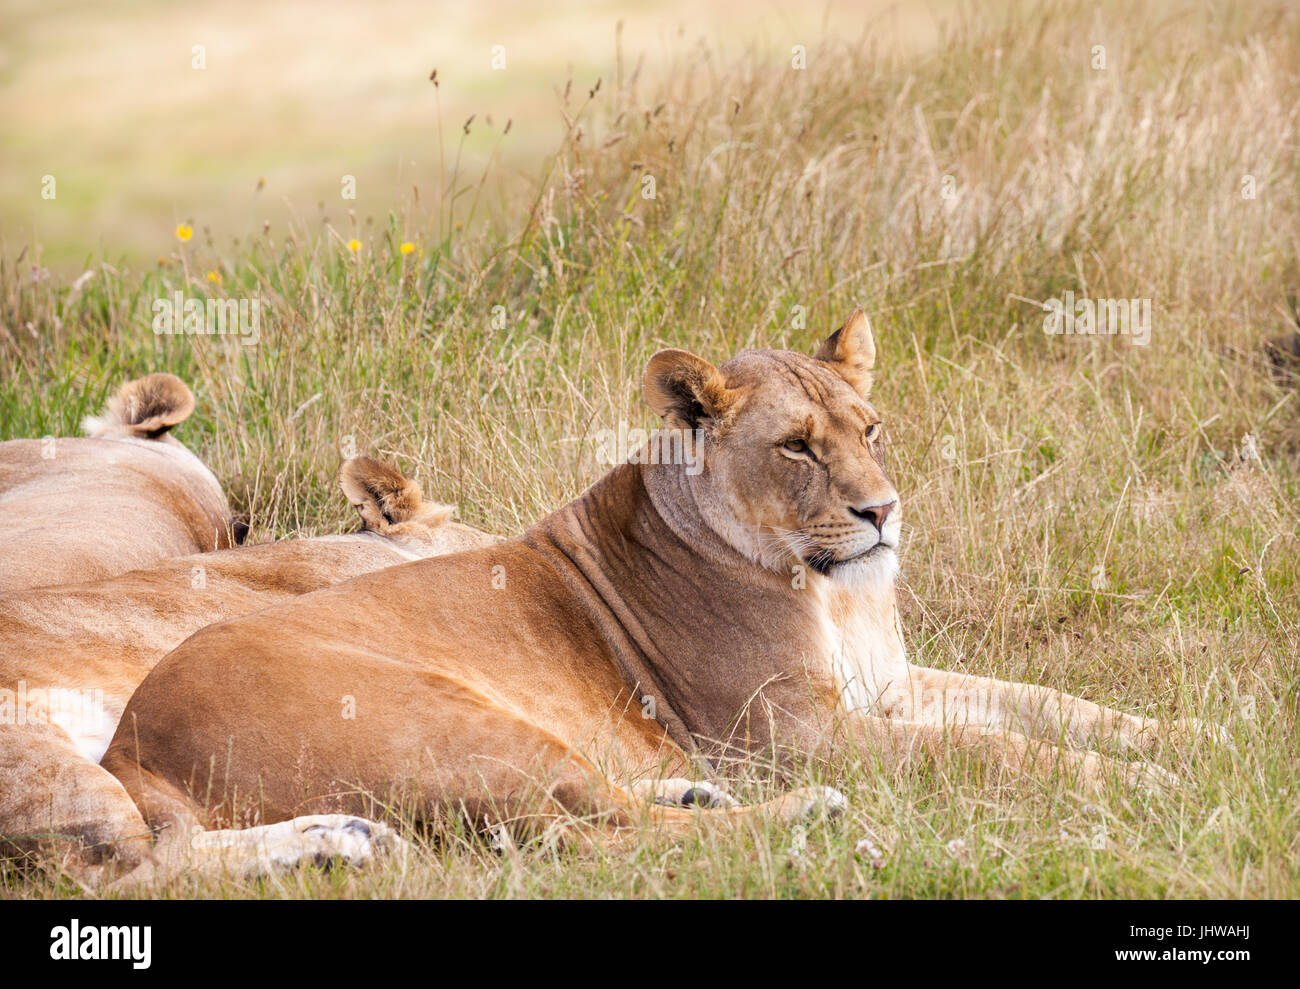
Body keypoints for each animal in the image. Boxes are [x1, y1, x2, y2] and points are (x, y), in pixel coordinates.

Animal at [98, 312, 1221, 880]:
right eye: (798, 447)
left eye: (871, 428)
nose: (883, 511)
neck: (835, 593)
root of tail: (127, 747)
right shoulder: (792, 732)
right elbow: (992, 749)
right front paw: (1138, 785)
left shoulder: (892, 689)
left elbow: (1050, 703)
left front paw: (1191, 736)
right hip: (456, 717)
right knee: (573, 834)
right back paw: (811, 819)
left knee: (593, 811)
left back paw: (699, 795)